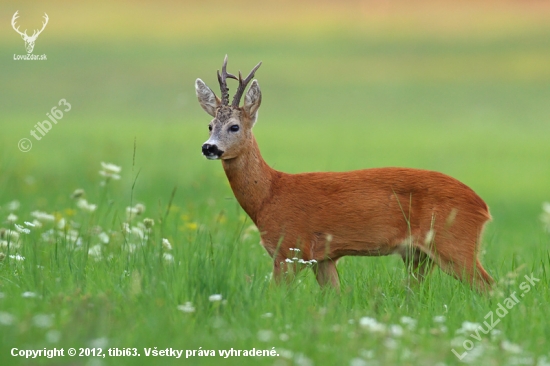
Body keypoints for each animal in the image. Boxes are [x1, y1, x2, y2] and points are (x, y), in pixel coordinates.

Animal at [195, 55, 496, 294]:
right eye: (210, 125)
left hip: (454, 242)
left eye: (234, 126)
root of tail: (483, 208)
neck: (268, 195)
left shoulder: (290, 249)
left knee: (488, 285)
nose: (209, 147)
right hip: (419, 255)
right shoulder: (323, 258)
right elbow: (335, 297)